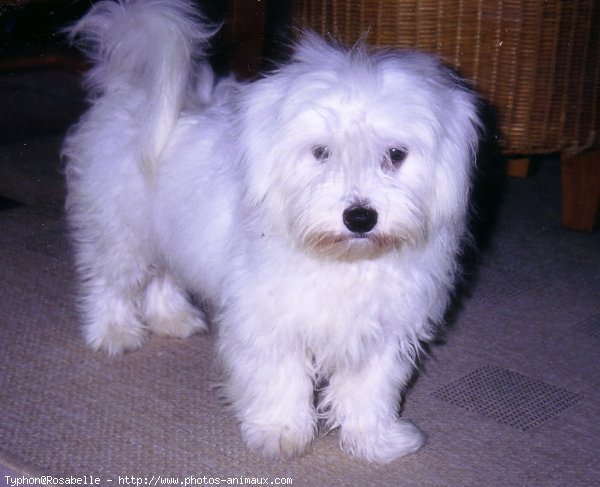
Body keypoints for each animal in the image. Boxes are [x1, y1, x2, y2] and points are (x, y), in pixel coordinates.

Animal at [63, 0, 480, 466]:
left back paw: (173, 319)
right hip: (121, 230)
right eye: (320, 152)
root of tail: (130, 92)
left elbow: (368, 388)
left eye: (395, 154)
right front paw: (280, 433)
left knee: (163, 274)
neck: (343, 260)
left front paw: (376, 440)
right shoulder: (269, 319)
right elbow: (280, 377)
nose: (360, 218)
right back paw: (113, 333)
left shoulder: (383, 328)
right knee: (111, 280)